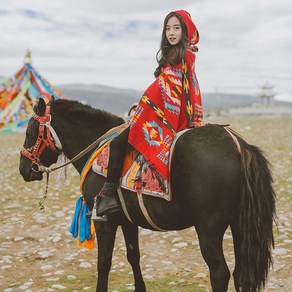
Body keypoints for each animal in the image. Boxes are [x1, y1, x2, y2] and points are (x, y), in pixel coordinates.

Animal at [18, 98, 276, 292]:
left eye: (30, 131)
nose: (24, 169)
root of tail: (239, 146)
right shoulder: (128, 220)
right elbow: (134, 256)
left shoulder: (104, 222)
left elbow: (104, 263)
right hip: (240, 225)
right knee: (241, 273)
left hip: (209, 229)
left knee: (220, 273)